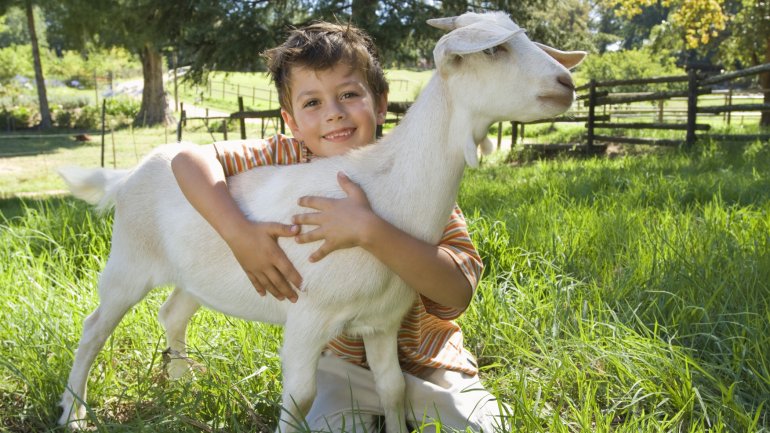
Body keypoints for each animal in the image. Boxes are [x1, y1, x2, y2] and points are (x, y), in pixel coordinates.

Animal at [57, 11, 584, 432]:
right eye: (494, 49)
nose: (567, 84)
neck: (384, 188)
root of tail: (125, 177)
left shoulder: (382, 321)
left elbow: (393, 388)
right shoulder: (308, 316)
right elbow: (300, 398)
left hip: (192, 275)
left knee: (171, 314)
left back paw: (183, 384)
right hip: (128, 262)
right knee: (92, 329)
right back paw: (74, 414)